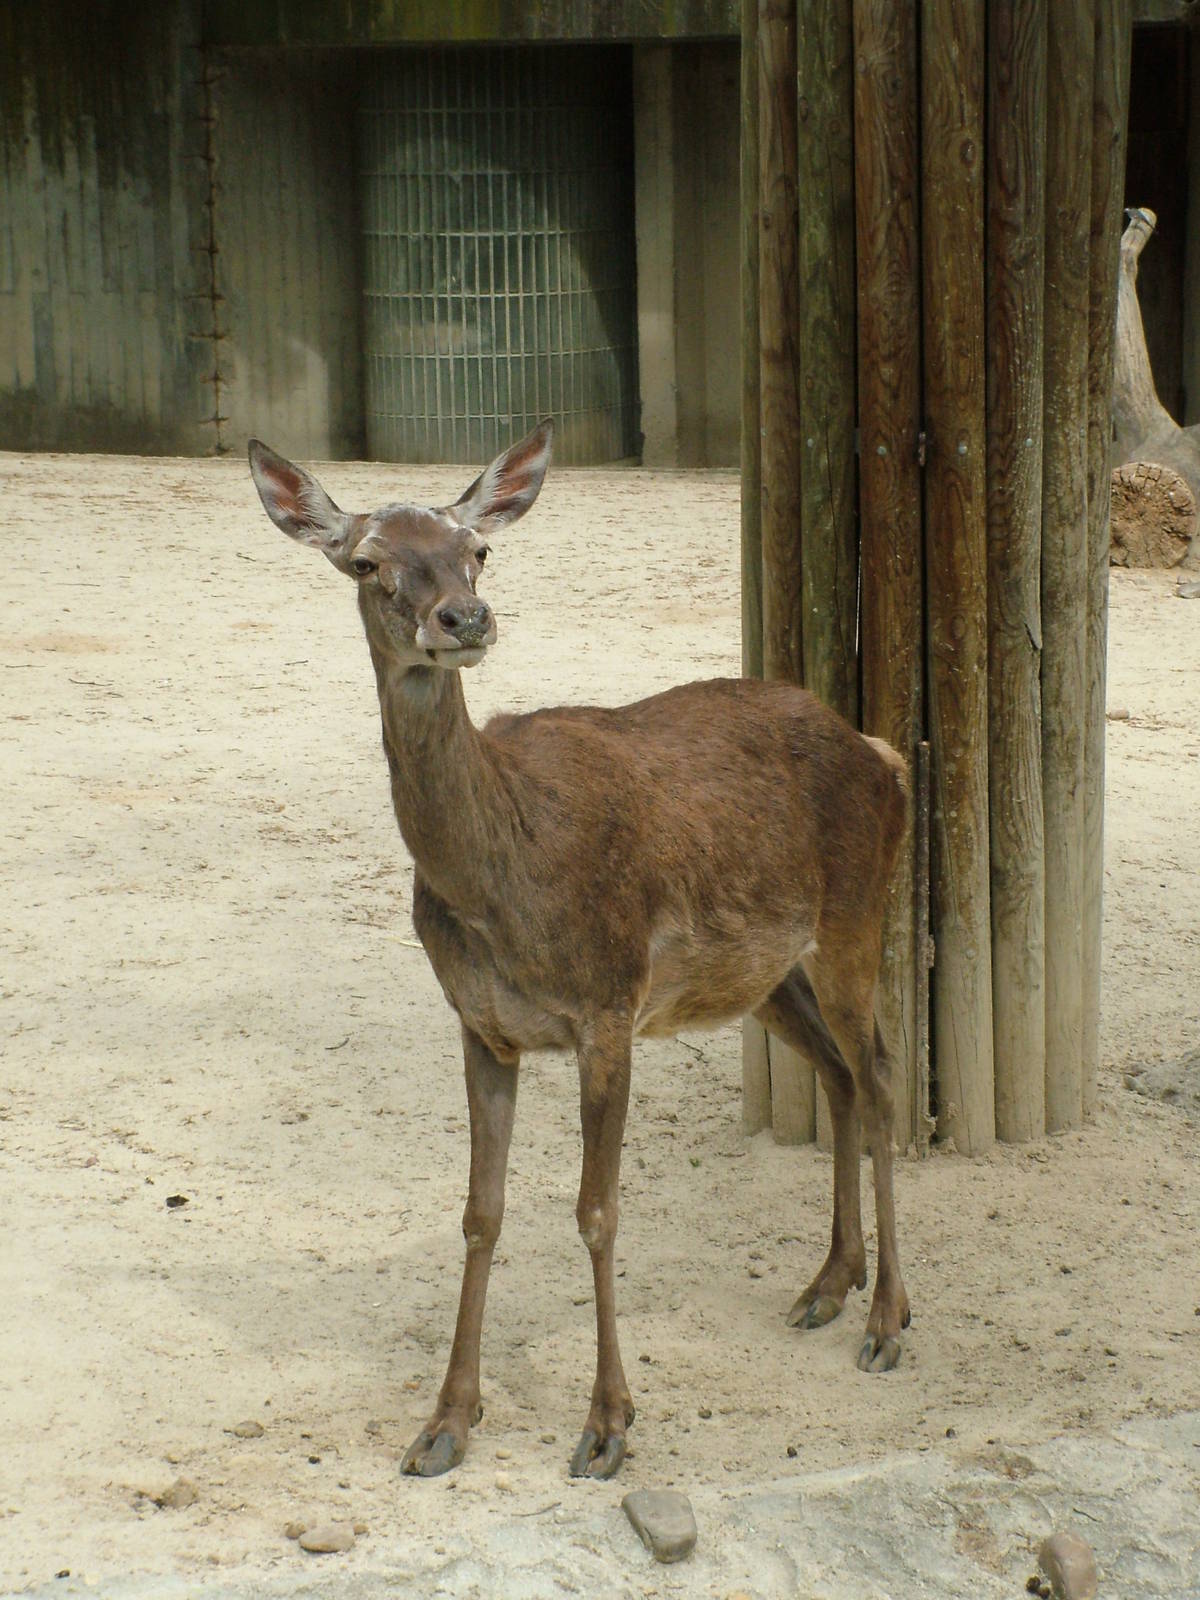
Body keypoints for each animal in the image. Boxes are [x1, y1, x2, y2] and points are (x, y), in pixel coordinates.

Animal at [247, 420, 911, 1482]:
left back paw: (888, 1319)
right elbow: (481, 1211)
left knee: (884, 1073)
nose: (464, 618)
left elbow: (596, 1212)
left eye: (478, 549)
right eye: (367, 561)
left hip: (857, 915)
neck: (504, 891)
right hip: (761, 975)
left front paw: (607, 1426)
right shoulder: (481, 1025)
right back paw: (826, 1284)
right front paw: (444, 1424)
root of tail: (883, 753)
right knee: (843, 1079)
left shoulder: (608, 1006)